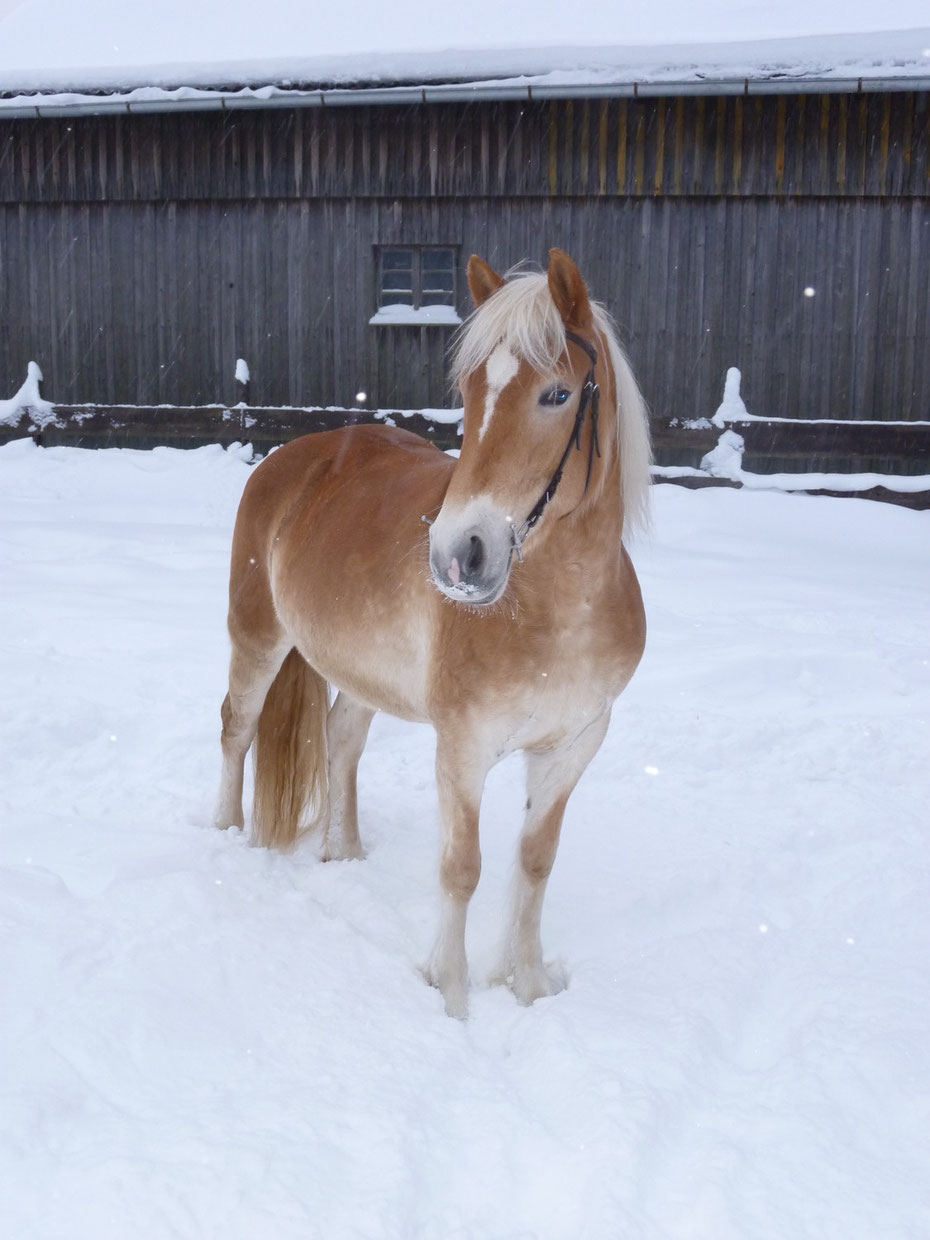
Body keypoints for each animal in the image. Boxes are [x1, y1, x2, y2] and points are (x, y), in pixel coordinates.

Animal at [214, 249, 649, 1016]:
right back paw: (225, 834)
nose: (458, 554)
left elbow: (535, 862)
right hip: (257, 640)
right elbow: (463, 868)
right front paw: (450, 996)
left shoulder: (573, 746)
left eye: (558, 395)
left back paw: (344, 851)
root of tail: (289, 457)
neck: (559, 612)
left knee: (341, 738)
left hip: (358, 670)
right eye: (470, 391)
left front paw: (529, 988)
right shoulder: (463, 748)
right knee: (235, 729)